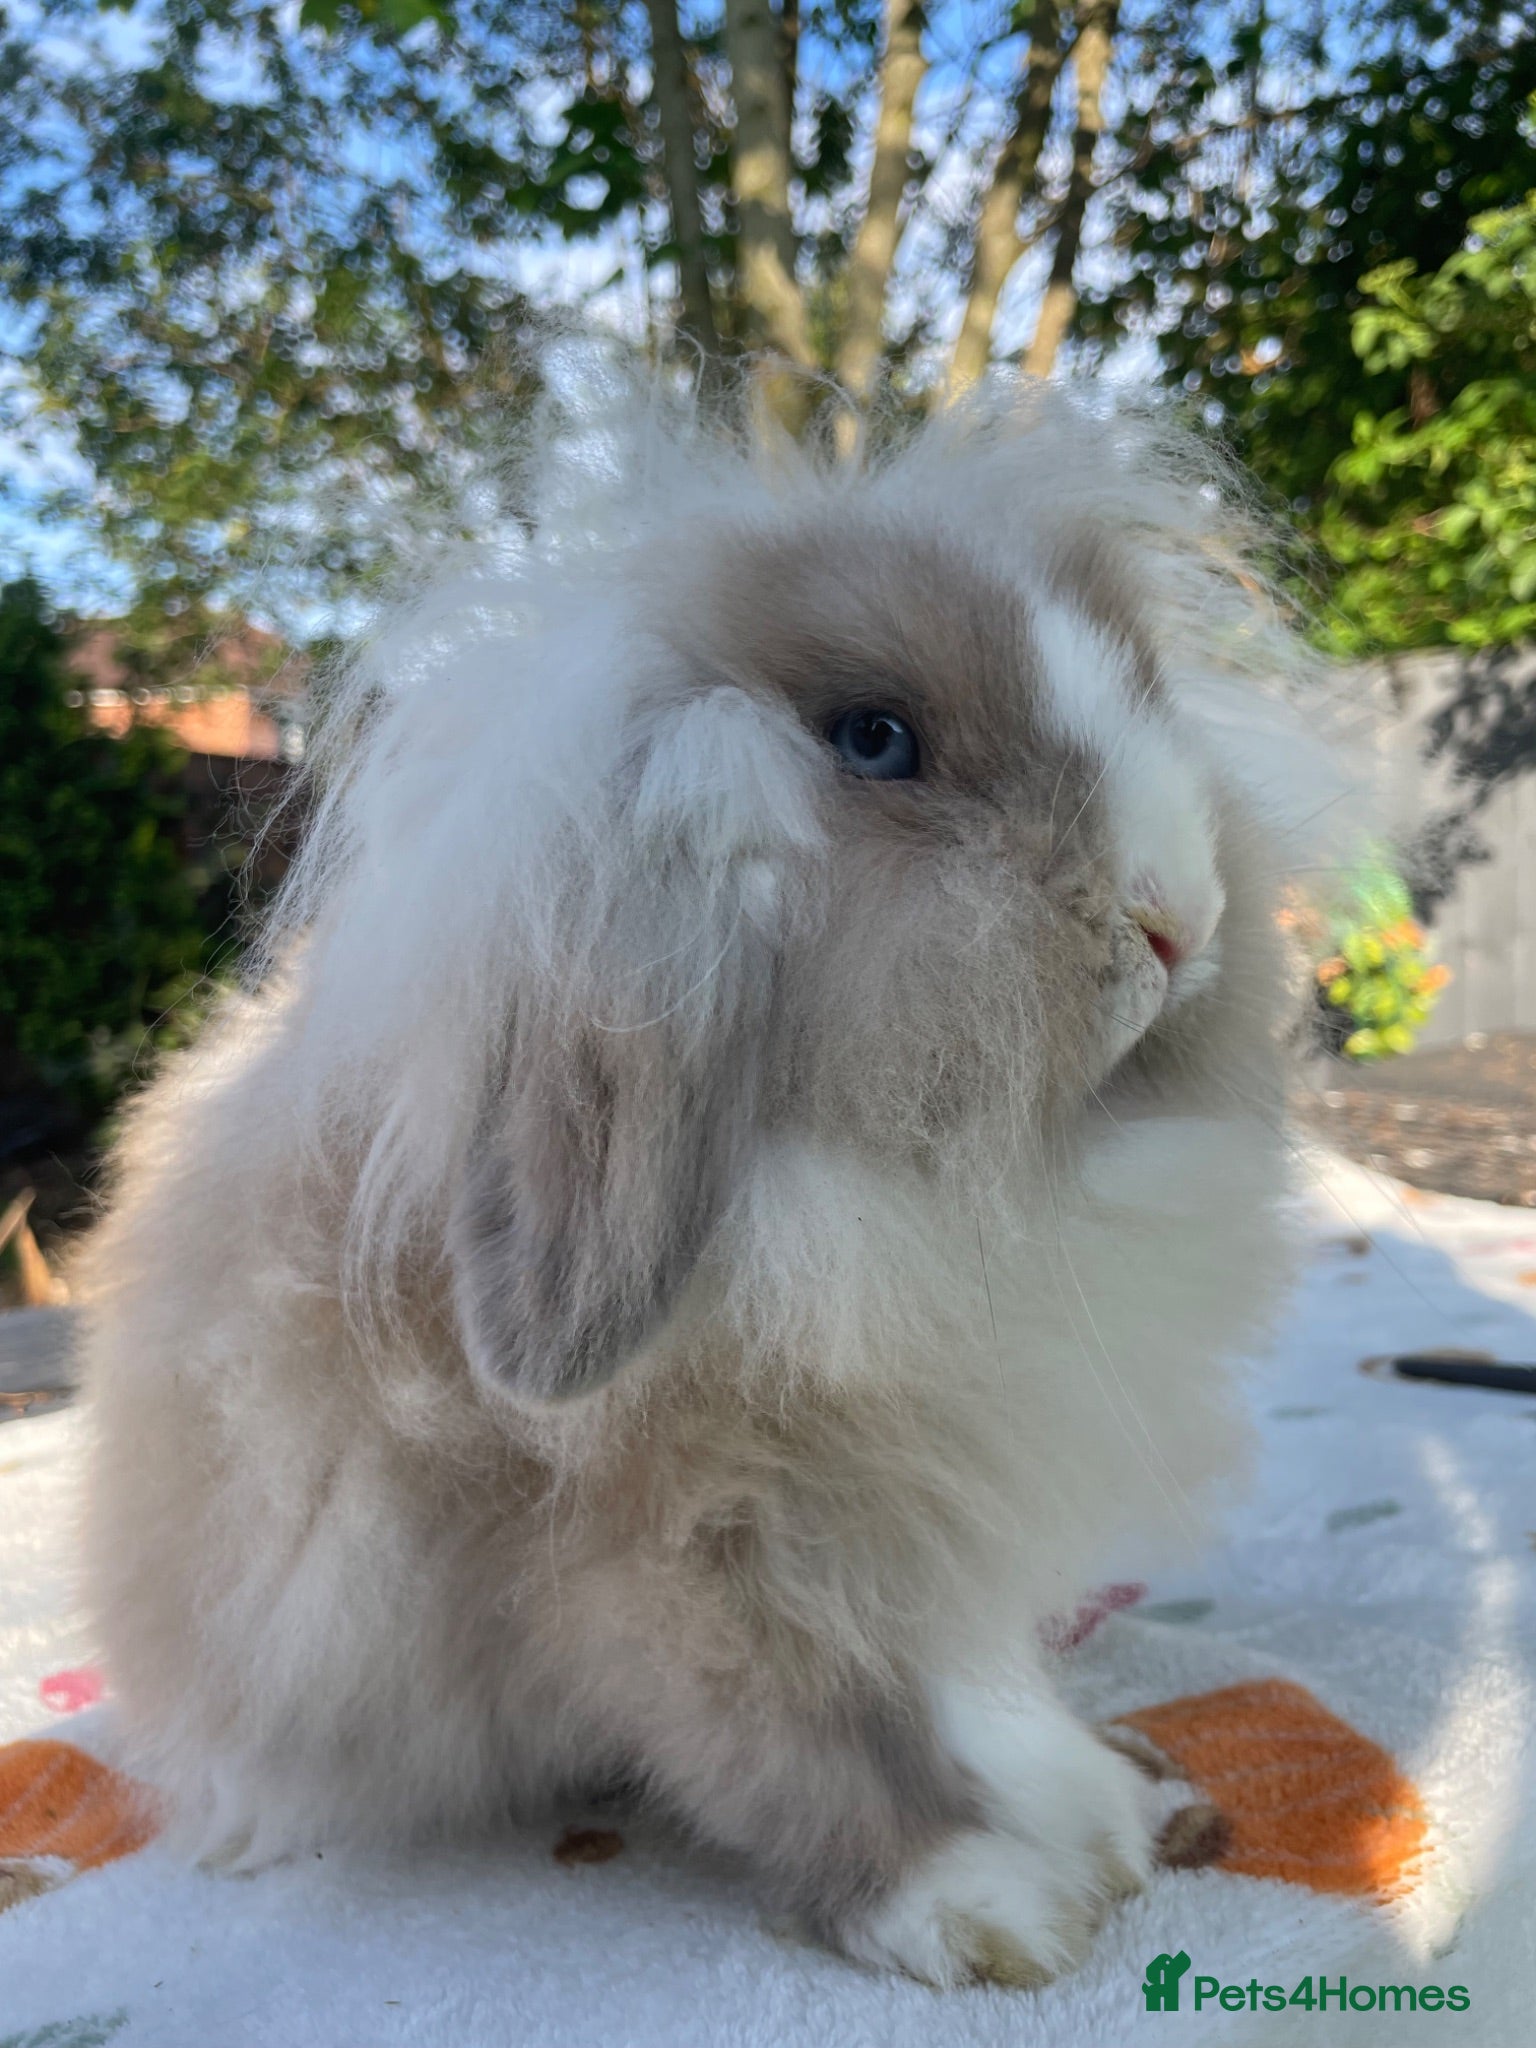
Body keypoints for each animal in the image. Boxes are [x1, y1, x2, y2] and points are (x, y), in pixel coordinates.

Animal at [77, 362, 1345, 1988]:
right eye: (875, 740)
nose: (1180, 913)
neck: (885, 1190)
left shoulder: (931, 1523)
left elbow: (985, 1697)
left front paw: (1109, 1804)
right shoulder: (685, 1565)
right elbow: (803, 1735)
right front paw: (985, 1904)